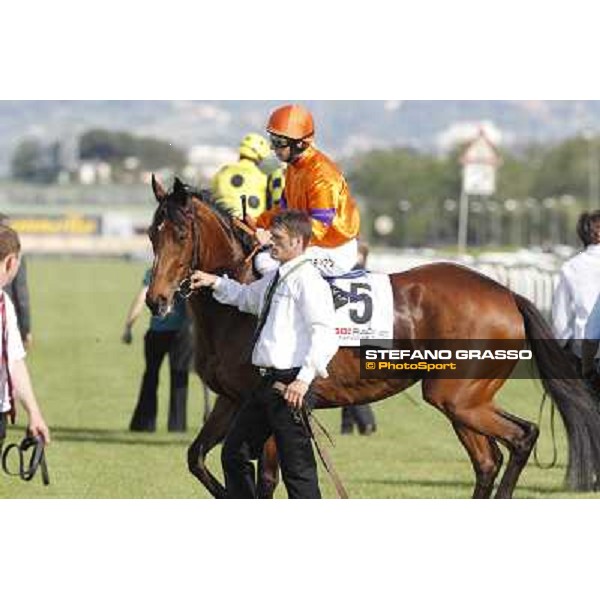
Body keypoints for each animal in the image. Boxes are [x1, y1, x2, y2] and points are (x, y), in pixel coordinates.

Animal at [146, 176, 600, 500]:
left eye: (181, 235)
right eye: (152, 234)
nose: (156, 299)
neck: (239, 303)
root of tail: (506, 294)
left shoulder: (272, 405)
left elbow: (267, 482)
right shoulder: (232, 400)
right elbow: (197, 458)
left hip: (458, 396)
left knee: (521, 438)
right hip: (464, 400)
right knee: (489, 460)